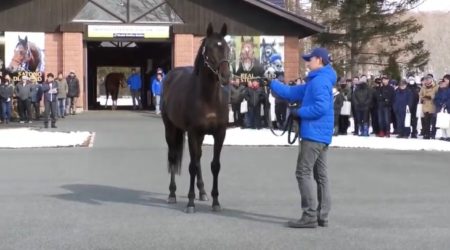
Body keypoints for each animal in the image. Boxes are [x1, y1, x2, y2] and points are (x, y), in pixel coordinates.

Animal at [163, 23, 232, 214]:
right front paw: (190, 203)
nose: (226, 76)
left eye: (227, 48)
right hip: (170, 129)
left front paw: (215, 202)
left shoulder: (220, 134)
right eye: (209, 49)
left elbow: (215, 165)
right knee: (173, 157)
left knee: (198, 158)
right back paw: (172, 194)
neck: (208, 99)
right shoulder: (193, 132)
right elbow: (192, 166)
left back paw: (202, 192)